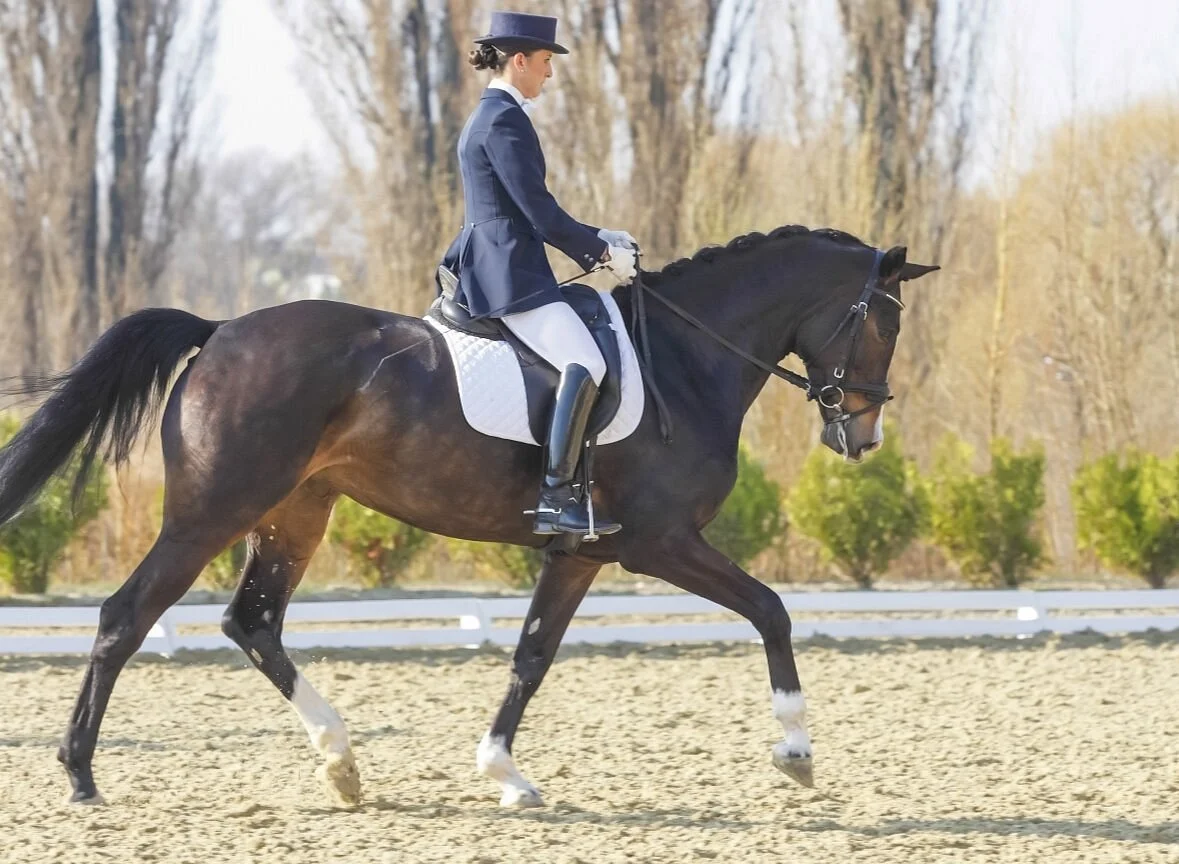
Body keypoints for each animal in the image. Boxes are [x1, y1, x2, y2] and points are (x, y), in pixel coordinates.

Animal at [0, 224, 937, 807]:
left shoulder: (581, 552)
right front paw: (796, 753)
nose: (861, 433)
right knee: (127, 616)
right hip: (214, 510)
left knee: (252, 620)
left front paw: (505, 774)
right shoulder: (660, 543)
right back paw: (80, 775)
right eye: (884, 323)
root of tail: (221, 327)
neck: (686, 356)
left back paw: (343, 765)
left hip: (297, 511)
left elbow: (531, 655)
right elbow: (772, 610)